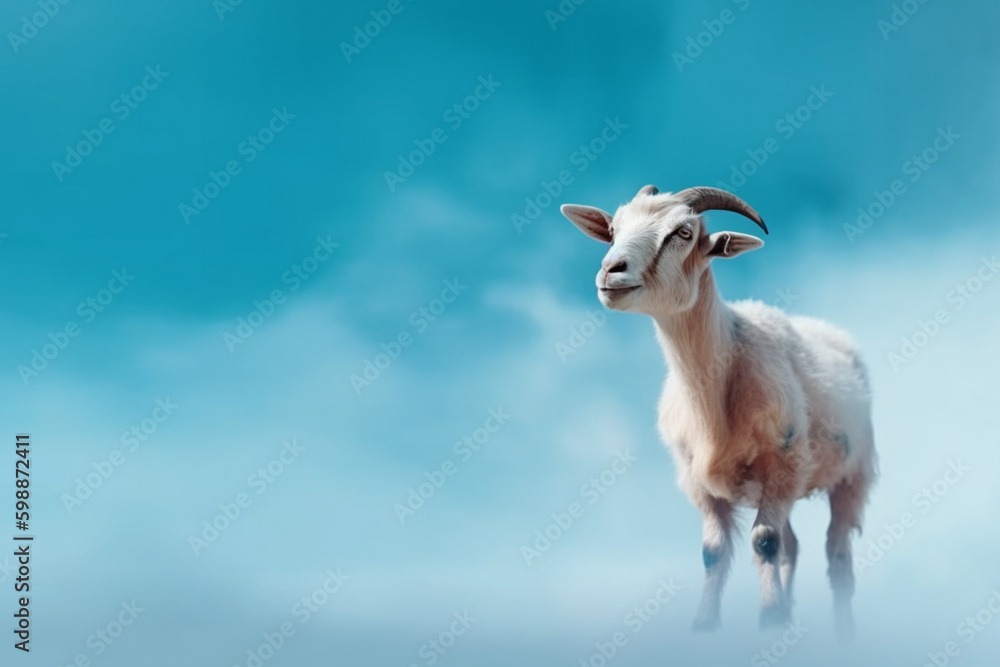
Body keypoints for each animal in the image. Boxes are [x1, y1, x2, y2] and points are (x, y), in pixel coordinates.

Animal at [561, 185, 877, 636]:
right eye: (614, 229)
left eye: (683, 232)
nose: (610, 270)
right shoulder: (697, 478)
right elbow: (714, 551)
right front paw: (709, 625)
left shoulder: (782, 464)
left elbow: (764, 541)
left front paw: (769, 618)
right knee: (792, 546)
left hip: (852, 475)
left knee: (836, 555)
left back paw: (843, 633)